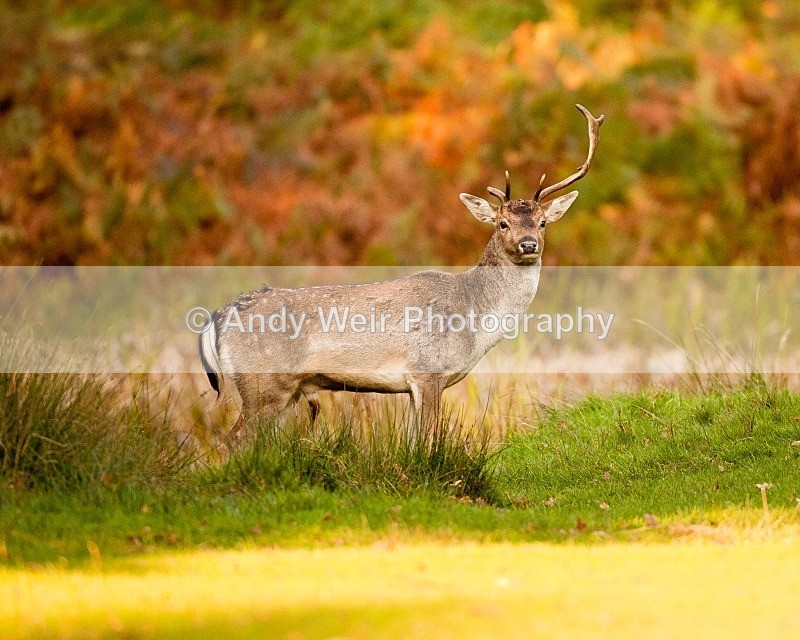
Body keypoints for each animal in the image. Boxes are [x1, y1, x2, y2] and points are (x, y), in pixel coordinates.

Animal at [199, 104, 604, 446]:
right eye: (502, 223)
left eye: (543, 222)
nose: (528, 244)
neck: (474, 318)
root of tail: (218, 316)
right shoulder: (428, 371)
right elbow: (429, 442)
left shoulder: (414, 385)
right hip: (264, 383)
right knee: (234, 439)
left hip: (284, 391)